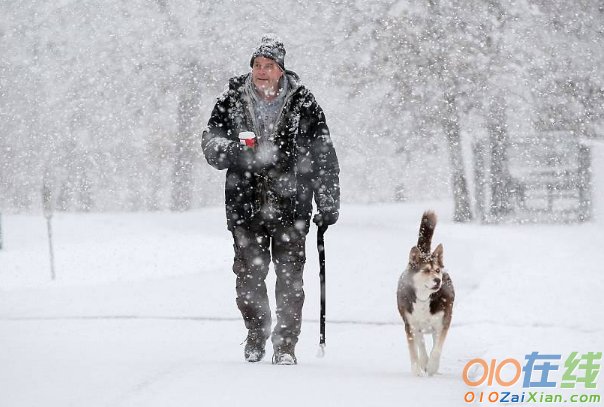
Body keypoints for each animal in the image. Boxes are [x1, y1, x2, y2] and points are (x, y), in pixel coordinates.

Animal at [396, 212, 452, 378]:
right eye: (426, 270)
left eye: (438, 270)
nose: (438, 280)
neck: (424, 298)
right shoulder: (410, 325)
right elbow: (413, 350)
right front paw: (416, 371)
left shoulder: (443, 322)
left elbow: (437, 348)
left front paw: (433, 366)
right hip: (415, 323)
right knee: (420, 341)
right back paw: (423, 361)